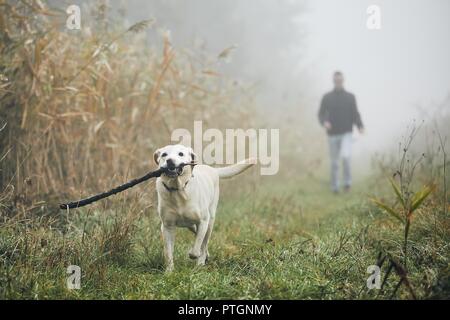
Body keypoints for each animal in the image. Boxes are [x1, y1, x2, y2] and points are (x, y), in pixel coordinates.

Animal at [153, 144, 255, 272]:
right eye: (164, 154)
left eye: (181, 154)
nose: (170, 161)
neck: (179, 190)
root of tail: (212, 169)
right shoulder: (167, 226)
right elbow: (168, 251)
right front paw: (169, 271)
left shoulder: (203, 221)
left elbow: (197, 247)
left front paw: (195, 255)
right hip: (191, 225)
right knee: (198, 236)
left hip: (210, 221)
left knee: (204, 241)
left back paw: (200, 263)